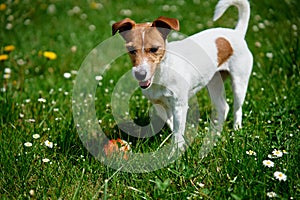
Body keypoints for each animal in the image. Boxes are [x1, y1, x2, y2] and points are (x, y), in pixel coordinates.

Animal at [111, 0, 252, 150]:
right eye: (131, 50)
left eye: (154, 49)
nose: (140, 74)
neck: (161, 75)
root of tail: (236, 33)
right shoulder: (160, 105)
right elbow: (173, 126)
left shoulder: (179, 105)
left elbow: (178, 132)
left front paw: (176, 151)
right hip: (214, 82)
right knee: (223, 107)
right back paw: (215, 132)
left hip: (239, 83)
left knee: (237, 109)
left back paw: (236, 129)